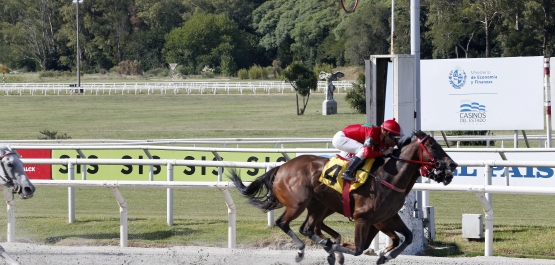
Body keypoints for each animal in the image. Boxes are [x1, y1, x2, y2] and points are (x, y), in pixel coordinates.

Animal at [228, 130, 458, 264]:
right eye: (433, 146)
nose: (452, 166)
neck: (388, 177)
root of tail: (282, 167)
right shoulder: (363, 218)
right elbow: (358, 249)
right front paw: (336, 249)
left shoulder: (386, 218)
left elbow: (406, 237)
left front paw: (386, 255)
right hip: (298, 203)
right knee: (283, 223)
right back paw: (304, 250)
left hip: (319, 205)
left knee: (308, 228)